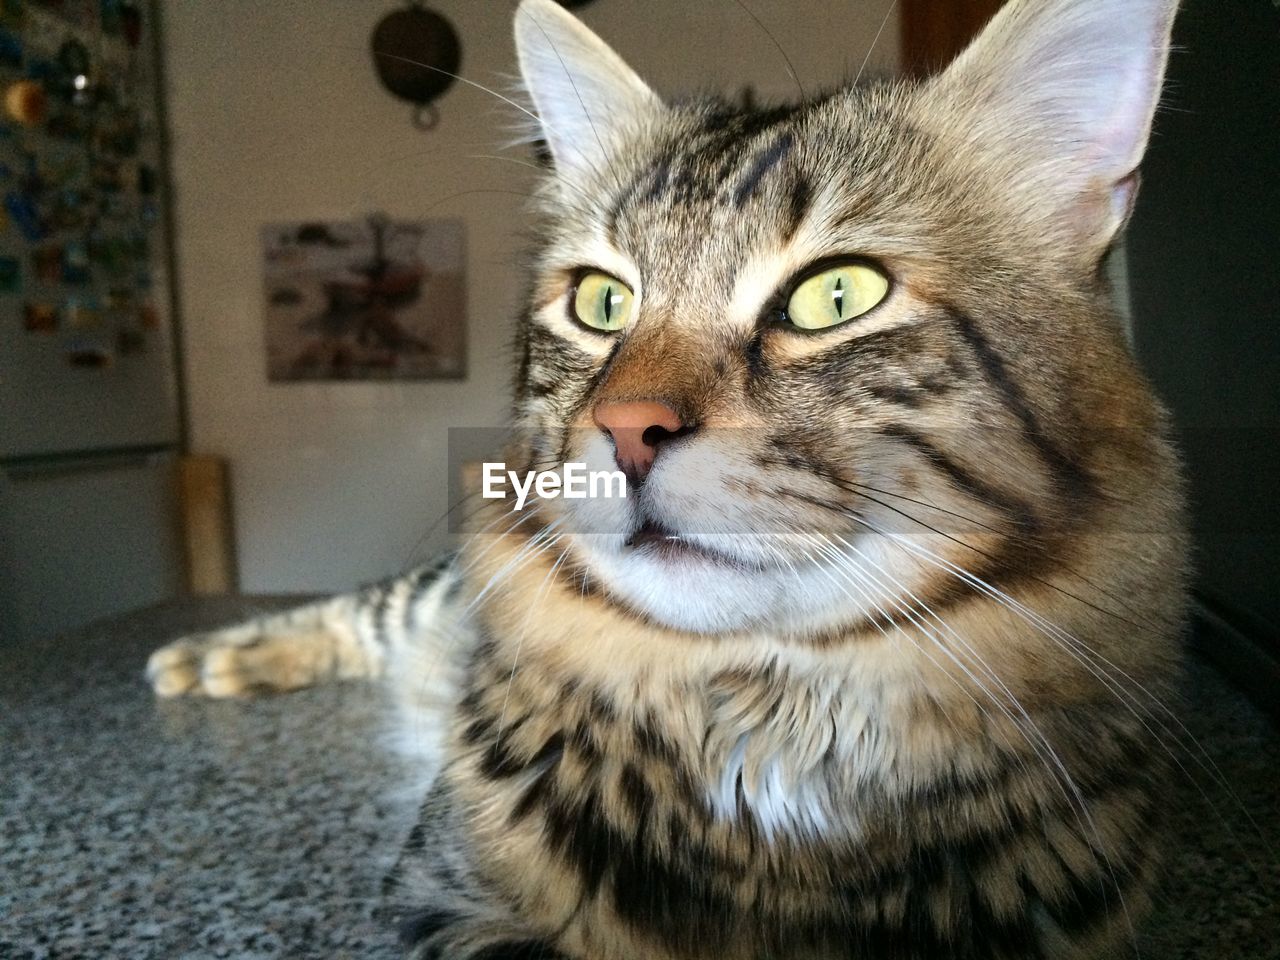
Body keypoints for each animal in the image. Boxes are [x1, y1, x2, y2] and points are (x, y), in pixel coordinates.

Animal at [149, 0, 1187, 957]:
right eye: (602, 302)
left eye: (836, 295)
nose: (626, 430)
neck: (766, 733)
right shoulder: (442, 888)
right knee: (361, 610)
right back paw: (206, 659)